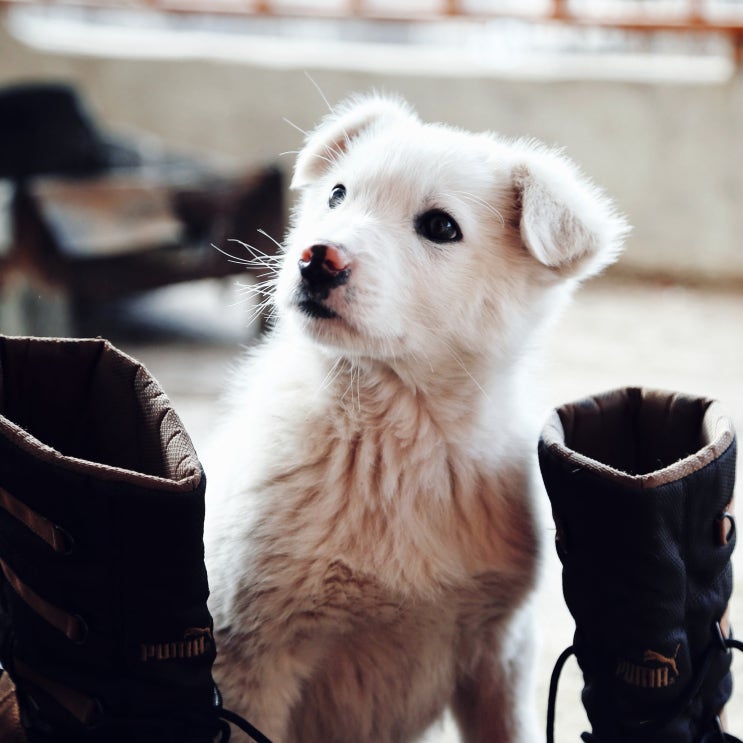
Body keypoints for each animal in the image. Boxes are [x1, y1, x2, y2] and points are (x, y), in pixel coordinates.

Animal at [203, 94, 628, 743]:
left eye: (440, 227)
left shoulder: (500, 651)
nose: (315, 259)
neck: (390, 437)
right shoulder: (251, 654)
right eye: (337, 194)